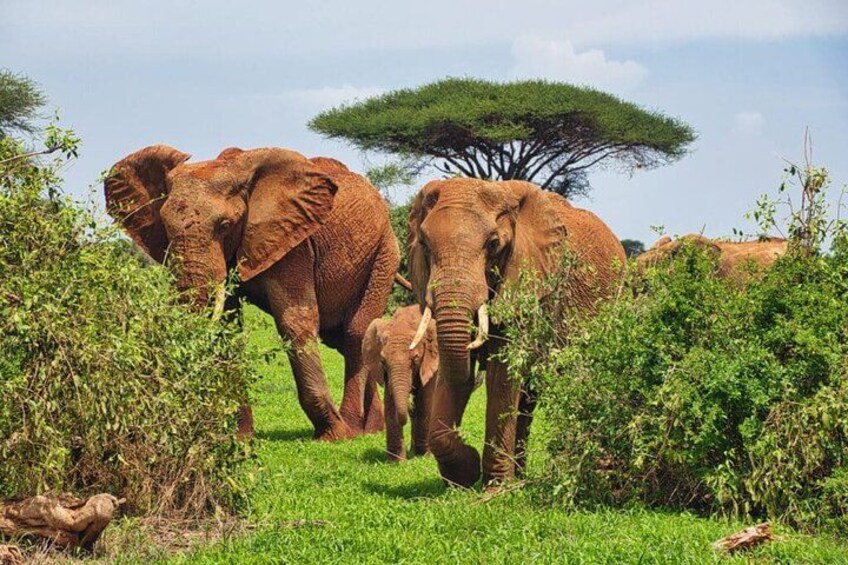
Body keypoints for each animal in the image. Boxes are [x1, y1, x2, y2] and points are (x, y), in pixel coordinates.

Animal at [104, 145, 401, 441]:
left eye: (225, 225)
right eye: (165, 227)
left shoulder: (293, 240)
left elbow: (294, 321)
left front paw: (333, 436)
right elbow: (227, 326)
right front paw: (240, 437)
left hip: (384, 253)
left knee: (355, 334)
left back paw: (353, 429)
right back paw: (371, 429)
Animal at [362, 306, 438, 462]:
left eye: (415, 358)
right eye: (383, 361)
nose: (409, 406)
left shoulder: (429, 362)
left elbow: (425, 402)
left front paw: (424, 457)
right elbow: (390, 402)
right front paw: (395, 461)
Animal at [407, 178, 626, 488]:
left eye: (493, 244)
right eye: (424, 244)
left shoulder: (529, 286)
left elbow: (503, 373)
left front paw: (495, 488)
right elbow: (456, 369)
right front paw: (465, 473)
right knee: (528, 398)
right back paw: (521, 476)